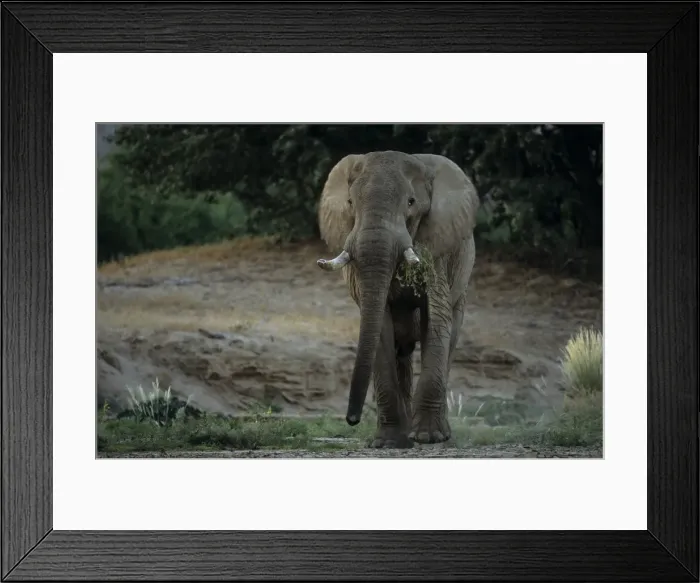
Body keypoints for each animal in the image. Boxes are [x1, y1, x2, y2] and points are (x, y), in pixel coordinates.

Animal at [316, 150, 480, 448]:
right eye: (350, 203)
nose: (352, 420)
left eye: (411, 203)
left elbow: (436, 317)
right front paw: (388, 443)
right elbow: (380, 326)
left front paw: (428, 438)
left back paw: (439, 434)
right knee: (401, 352)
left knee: (450, 339)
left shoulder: (436, 249)